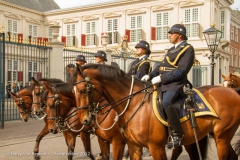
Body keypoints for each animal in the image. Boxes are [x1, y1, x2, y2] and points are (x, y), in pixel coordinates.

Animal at [71, 63, 240, 160]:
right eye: (73, 91)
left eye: (82, 90)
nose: (84, 120)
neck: (133, 103)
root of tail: (233, 92)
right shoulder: (134, 146)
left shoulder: (154, 147)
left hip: (222, 137)